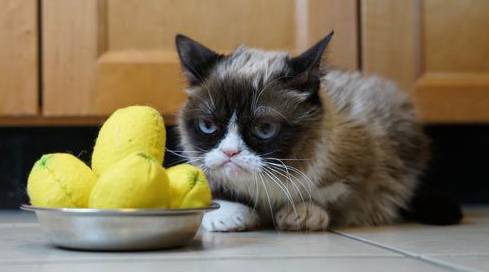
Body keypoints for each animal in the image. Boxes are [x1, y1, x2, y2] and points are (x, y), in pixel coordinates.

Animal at [173, 32, 462, 232]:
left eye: (264, 129)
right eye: (208, 126)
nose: (230, 152)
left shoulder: (369, 162)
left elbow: (333, 193)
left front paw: (303, 212)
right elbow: (216, 188)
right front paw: (227, 214)